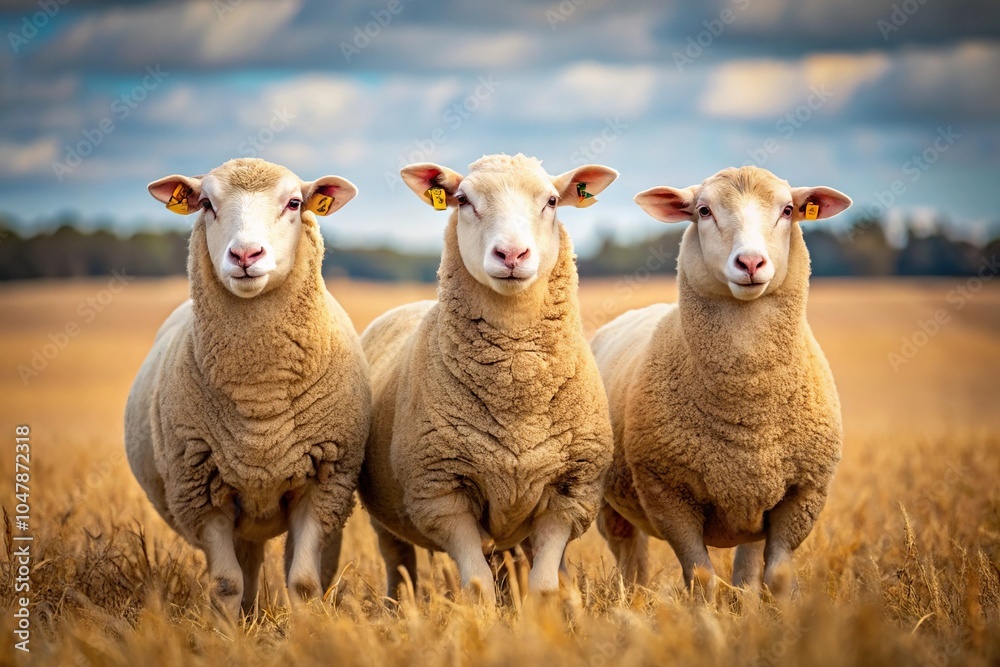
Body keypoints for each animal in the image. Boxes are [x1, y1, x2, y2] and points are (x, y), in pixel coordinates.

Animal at [124, 158, 371, 619]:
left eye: (294, 203)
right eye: (206, 204)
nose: (244, 255)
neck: (260, 401)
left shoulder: (325, 482)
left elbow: (304, 582)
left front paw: (309, 628)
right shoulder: (201, 493)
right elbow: (226, 583)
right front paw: (227, 631)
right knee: (247, 567)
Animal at [359, 154, 618, 605]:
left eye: (552, 201)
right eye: (463, 200)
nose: (512, 253)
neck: (517, 392)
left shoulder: (570, 494)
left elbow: (544, 584)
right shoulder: (442, 494)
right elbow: (477, 583)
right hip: (385, 517)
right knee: (399, 562)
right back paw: (397, 604)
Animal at [591, 166, 851, 598]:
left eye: (788, 210)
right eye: (704, 210)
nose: (750, 262)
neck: (747, 403)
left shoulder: (803, 493)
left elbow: (777, 575)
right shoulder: (667, 494)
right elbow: (699, 576)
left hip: (755, 504)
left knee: (746, 570)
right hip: (611, 504)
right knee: (630, 558)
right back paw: (633, 597)